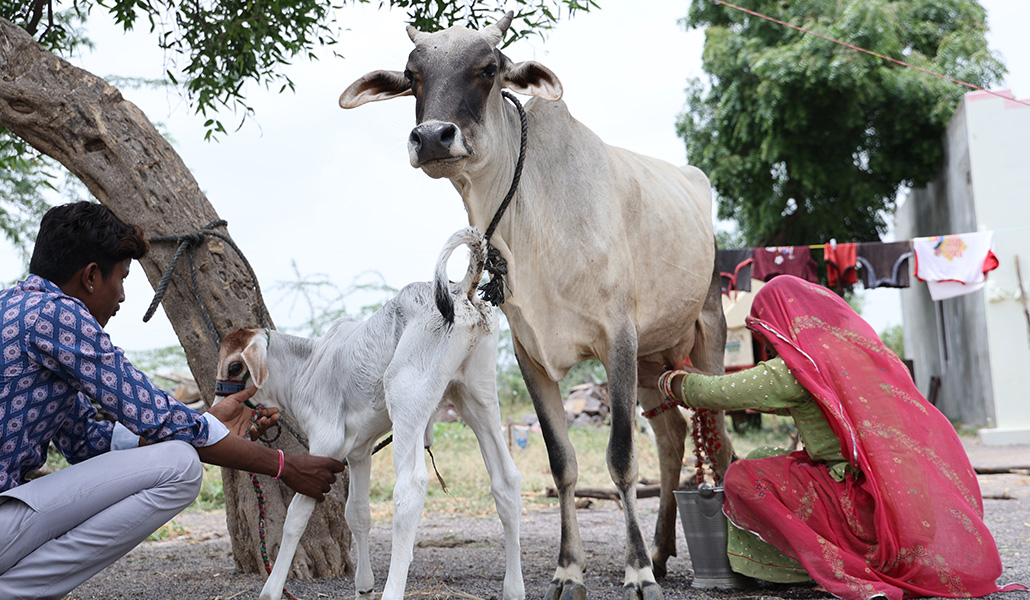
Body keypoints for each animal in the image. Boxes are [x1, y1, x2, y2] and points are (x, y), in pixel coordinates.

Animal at [217, 227, 523, 600]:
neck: (306, 367)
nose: (220, 406)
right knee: (506, 479)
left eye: (235, 367)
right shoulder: (359, 452)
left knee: (410, 488)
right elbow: (358, 513)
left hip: (408, 397)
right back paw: (514, 588)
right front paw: (363, 585)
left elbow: (296, 518)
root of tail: (458, 288)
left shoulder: (325, 445)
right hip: (476, 397)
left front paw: (271, 589)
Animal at [341, 12, 737, 600]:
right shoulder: (531, 354)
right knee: (672, 441)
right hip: (651, 360)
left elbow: (621, 459)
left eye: (489, 68)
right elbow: (562, 462)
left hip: (706, 336)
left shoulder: (617, 339)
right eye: (412, 75)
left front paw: (637, 572)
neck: (534, 223)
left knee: (720, 438)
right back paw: (664, 550)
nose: (432, 136)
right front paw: (569, 570)